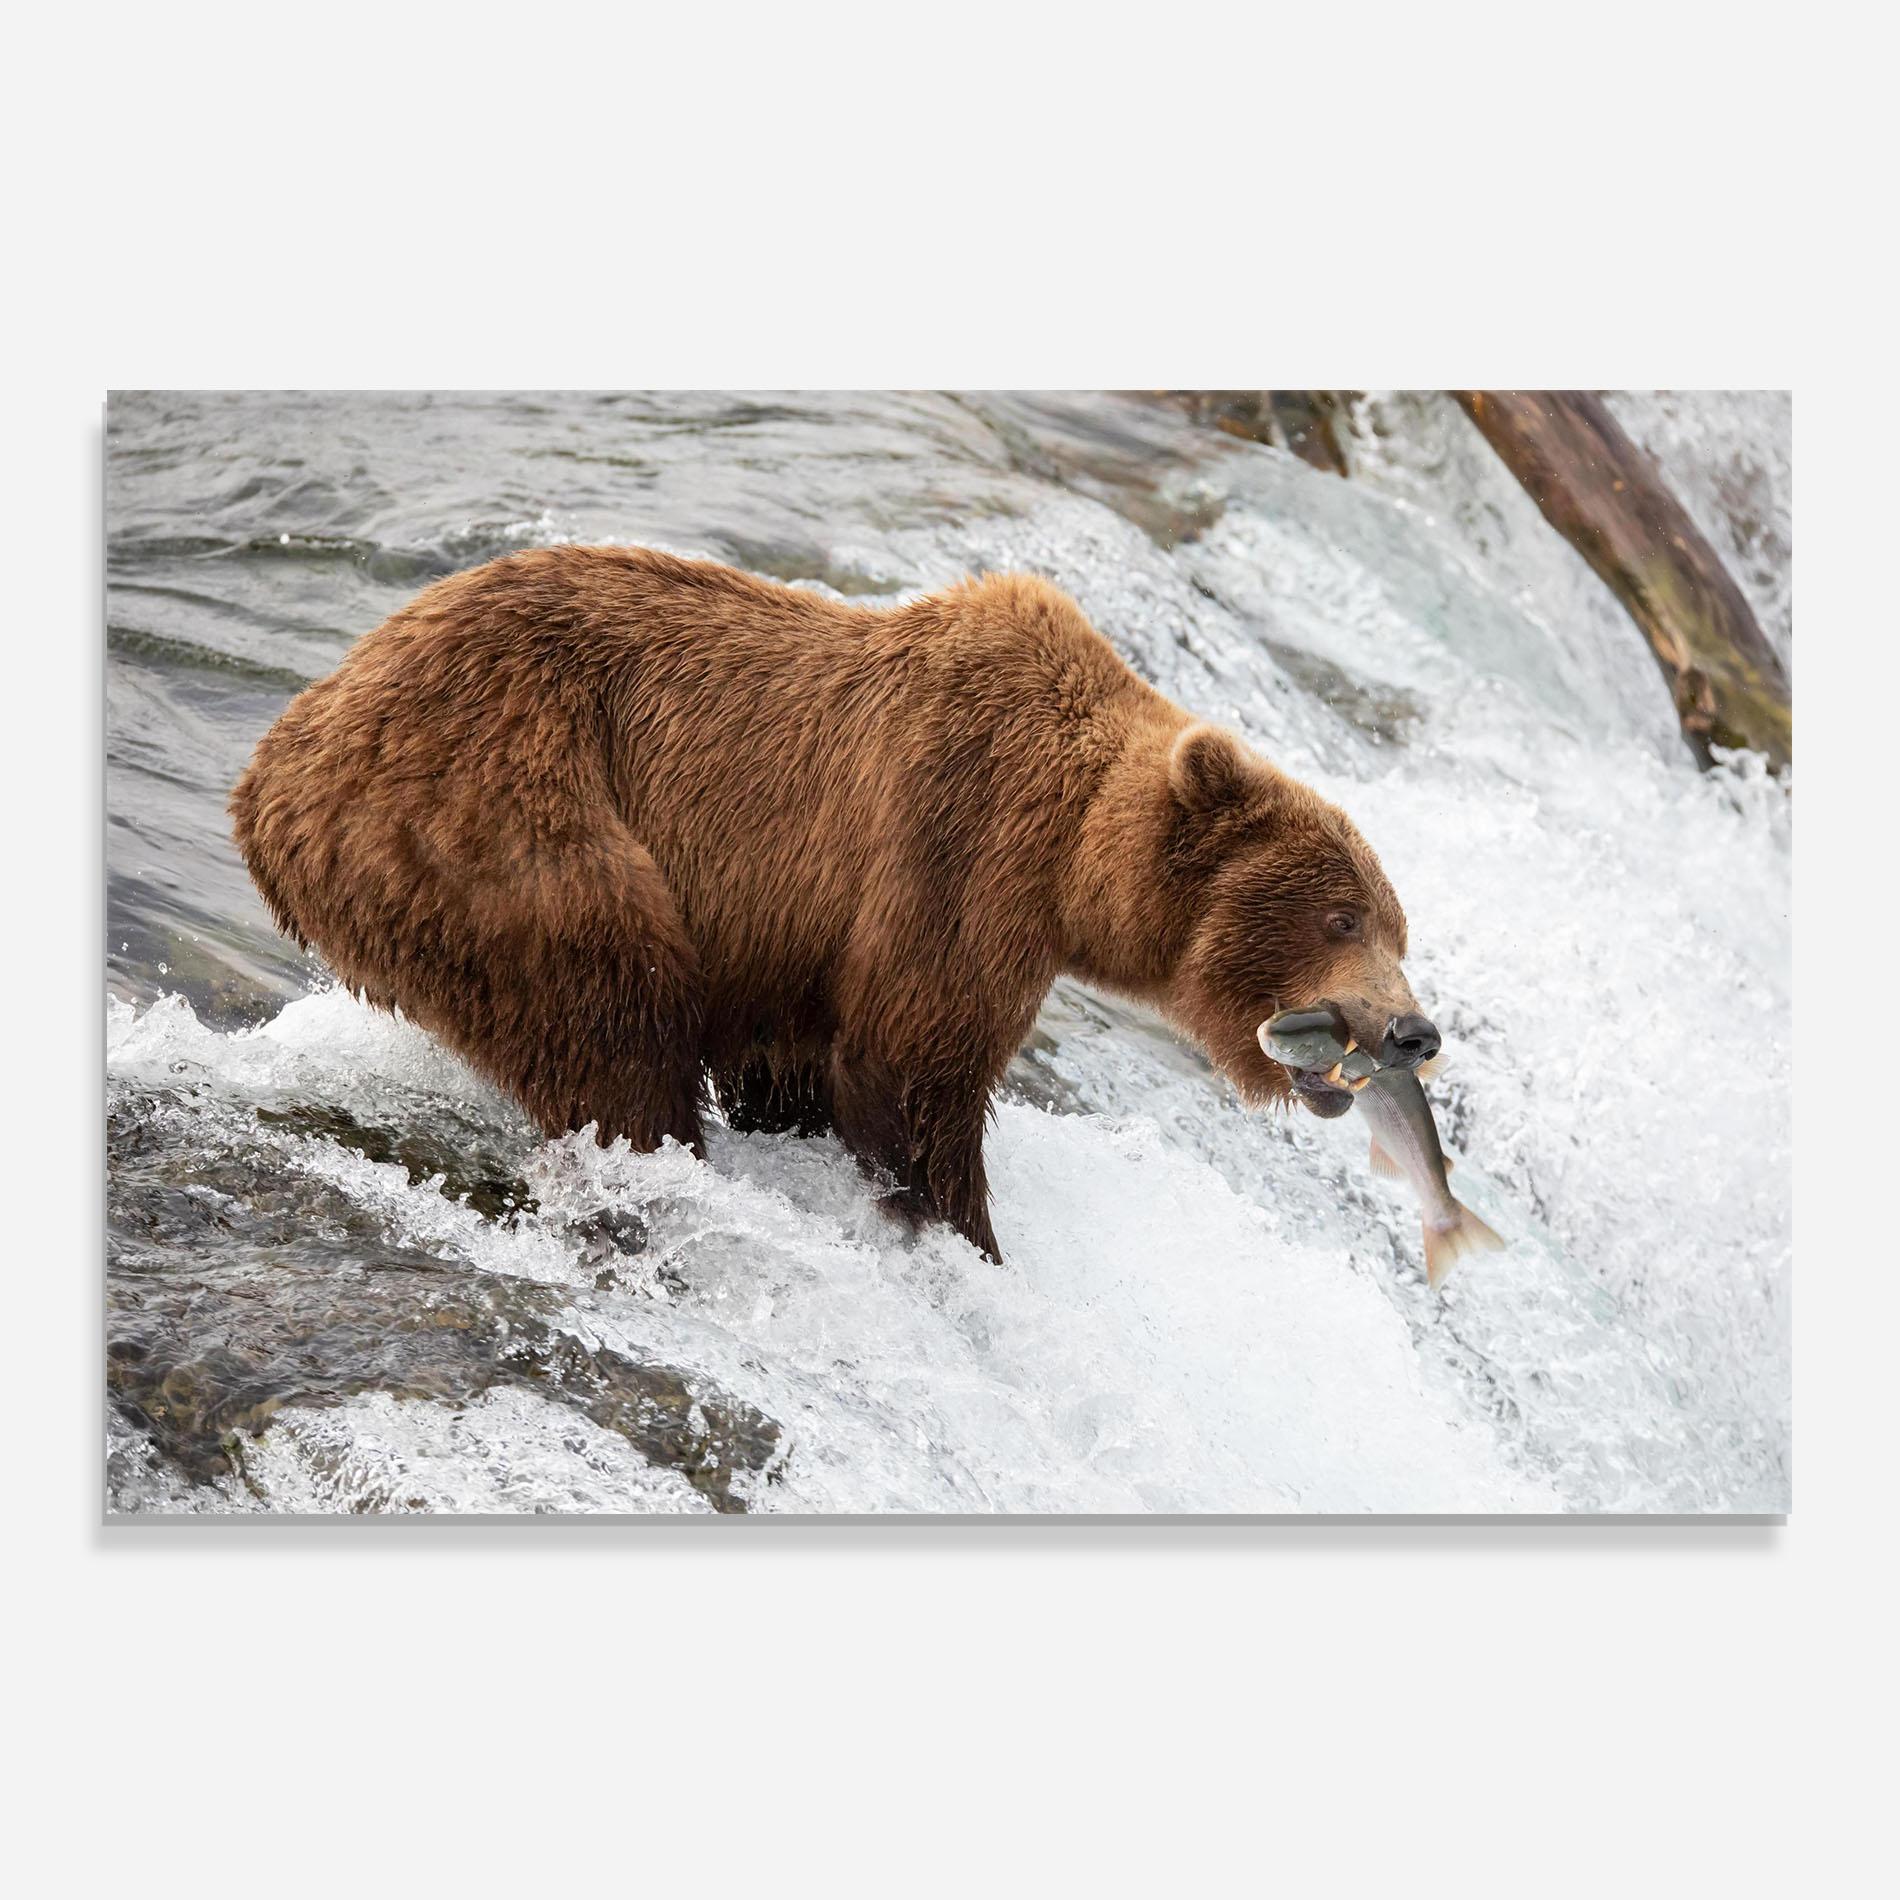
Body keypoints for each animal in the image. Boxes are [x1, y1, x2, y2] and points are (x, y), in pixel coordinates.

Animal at [231, 545, 1438, 1262]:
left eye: (1397, 926)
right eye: (1341, 917)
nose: (1412, 1031)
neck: (1072, 859)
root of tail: (275, 765)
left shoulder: (796, 944)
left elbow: (801, 1064)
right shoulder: (957, 850)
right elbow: (913, 1069)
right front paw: (964, 1237)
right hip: (498, 813)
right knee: (611, 1013)